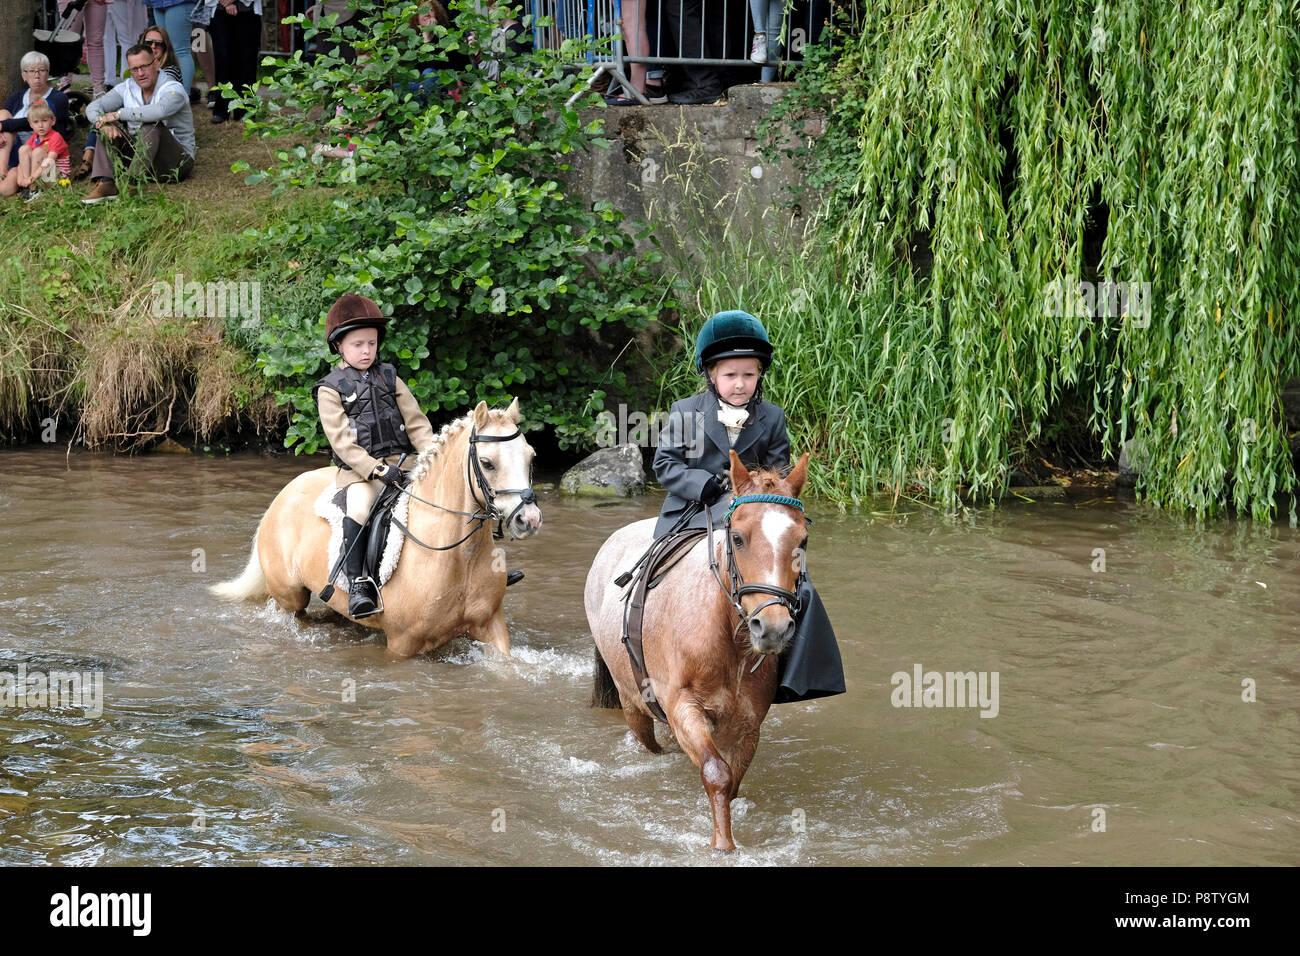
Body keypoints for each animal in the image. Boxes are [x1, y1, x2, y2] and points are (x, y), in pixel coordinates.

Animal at [215, 398, 540, 658]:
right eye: (487, 462)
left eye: (531, 456)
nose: (529, 519)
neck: (461, 557)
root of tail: (283, 494)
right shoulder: (403, 644)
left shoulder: (492, 626)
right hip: (290, 597)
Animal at [590, 450, 811, 853]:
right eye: (737, 538)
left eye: (802, 540)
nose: (772, 627)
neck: (727, 642)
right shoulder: (683, 708)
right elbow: (716, 773)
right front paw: (722, 844)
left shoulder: (746, 725)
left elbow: (732, 781)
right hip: (633, 703)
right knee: (649, 742)